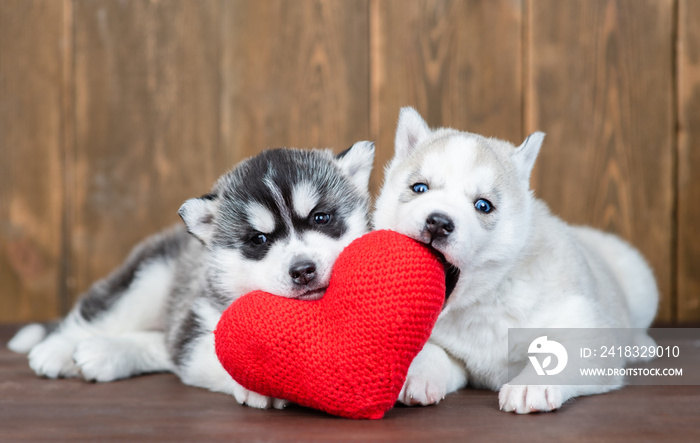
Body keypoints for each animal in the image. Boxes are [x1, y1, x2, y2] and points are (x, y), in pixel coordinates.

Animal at [8, 142, 374, 410]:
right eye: (258, 240)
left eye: (321, 217)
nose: (303, 270)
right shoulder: (198, 324)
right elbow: (210, 356)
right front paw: (261, 384)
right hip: (148, 279)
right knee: (99, 315)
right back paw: (57, 350)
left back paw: (104, 353)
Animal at [374, 109, 660, 414]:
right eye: (419, 188)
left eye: (483, 205)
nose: (438, 222)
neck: (483, 302)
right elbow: (434, 351)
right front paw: (416, 376)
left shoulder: (585, 325)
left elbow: (561, 352)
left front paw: (531, 385)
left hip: (638, 279)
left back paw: (639, 345)